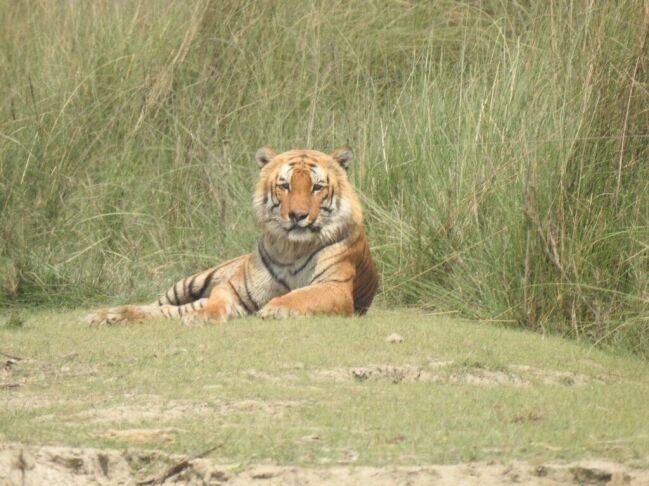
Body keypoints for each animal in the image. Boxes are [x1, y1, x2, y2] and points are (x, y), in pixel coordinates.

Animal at [85, 146, 379, 324]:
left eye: (317, 187)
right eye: (285, 186)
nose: (298, 215)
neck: (292, 248)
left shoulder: (335, 287)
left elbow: (301, 296)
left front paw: (274, 308)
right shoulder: (234, 287)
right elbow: (217, 301)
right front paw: (204, 315)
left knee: (167, 311)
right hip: (191, 281)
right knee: (159, 305)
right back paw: (105, 315)